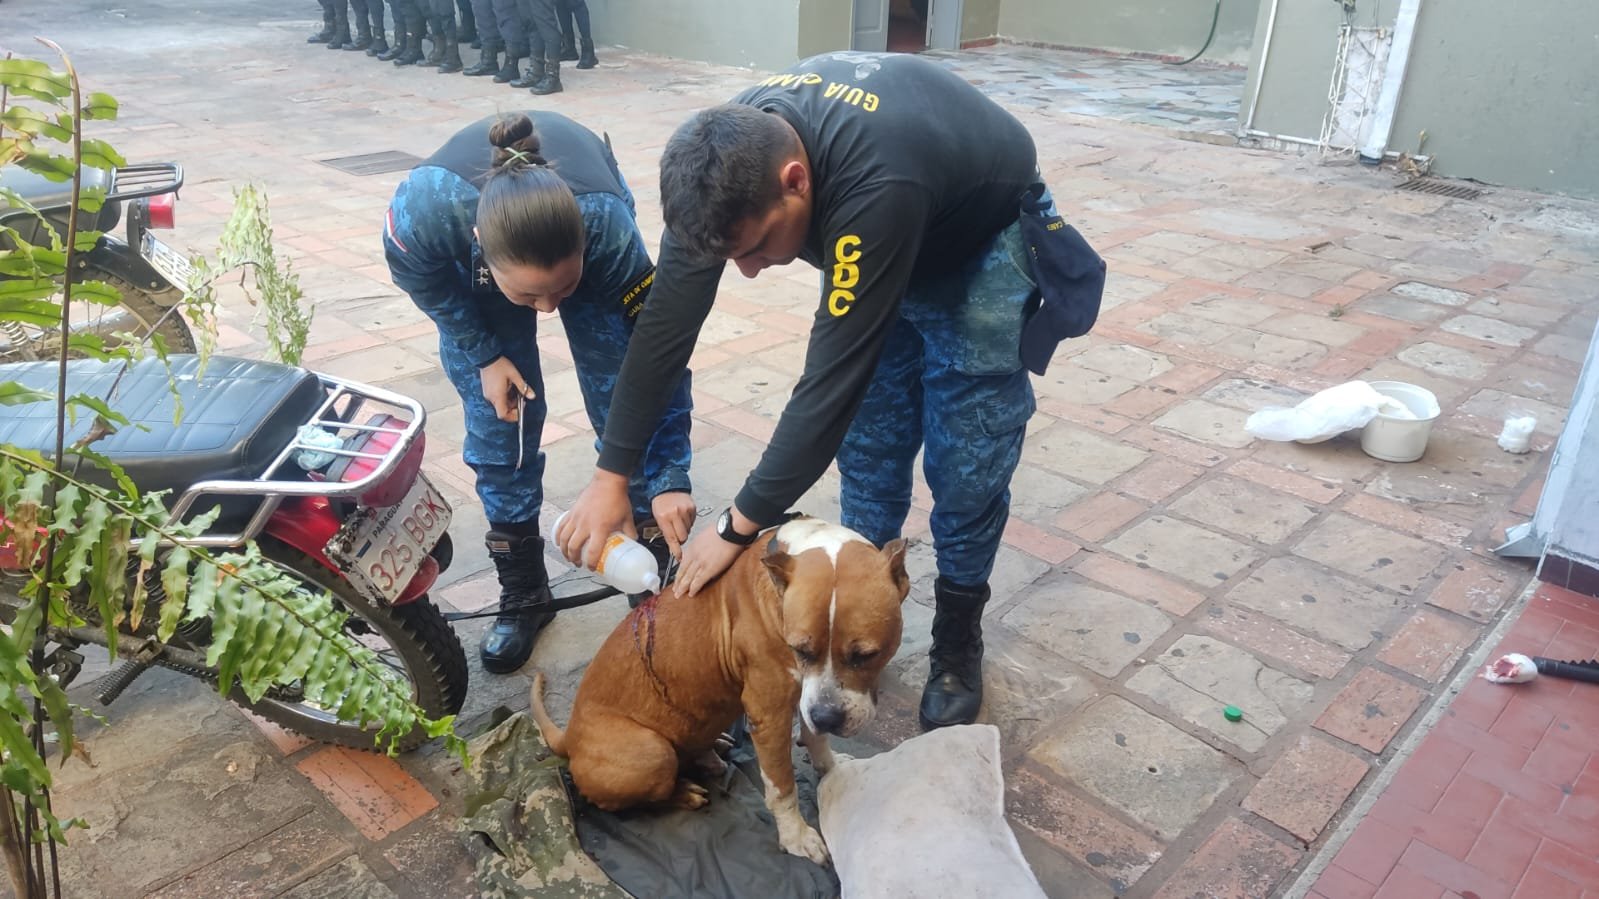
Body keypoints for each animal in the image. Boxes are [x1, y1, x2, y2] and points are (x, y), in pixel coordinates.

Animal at [530, 518, 908, 863]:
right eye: (800, 649)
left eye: (866, 655)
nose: (828, 717)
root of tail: (570, 735)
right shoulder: (770, 715)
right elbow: (782, 785)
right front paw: (796, 836)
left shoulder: (808, 695)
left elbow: (815, 738)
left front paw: (829, 767)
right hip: (651, 752)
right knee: (632, 800)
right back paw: (685, 792)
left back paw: (713, 751)